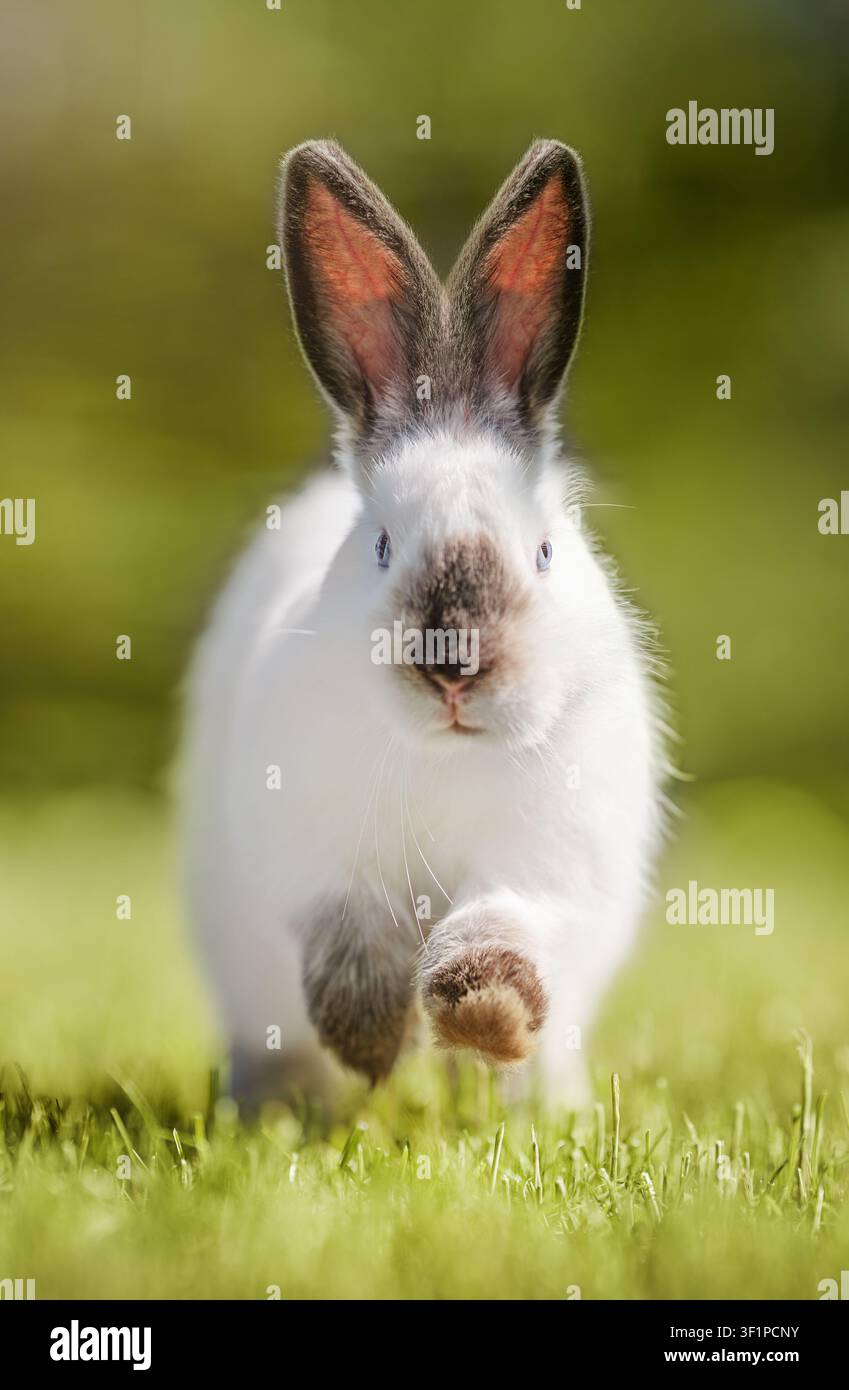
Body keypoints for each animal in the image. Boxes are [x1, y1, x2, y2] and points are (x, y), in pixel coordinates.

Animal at [182, 138, 666, 1110]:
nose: (452, 666)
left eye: (543, 550)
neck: (444, 753)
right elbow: (349, 943)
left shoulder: (545, 866)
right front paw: (373, 1047)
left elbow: (497, 930)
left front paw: (481, 1020)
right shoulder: (321, 863)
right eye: (380, 545)